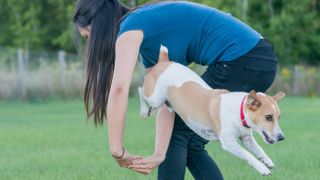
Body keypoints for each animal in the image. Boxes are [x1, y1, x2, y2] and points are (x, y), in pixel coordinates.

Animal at [139, 45, 286, 176]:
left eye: (278, 118)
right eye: (268, 117)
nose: (281, 137)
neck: (238, 111)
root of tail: (165, 61)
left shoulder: (246, 137)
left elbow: (258, 148)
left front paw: (266, 160)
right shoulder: (228, 142)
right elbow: (248, 154)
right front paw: (262, 168)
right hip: (155, 97)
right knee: (141, 91)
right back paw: (144, 110)